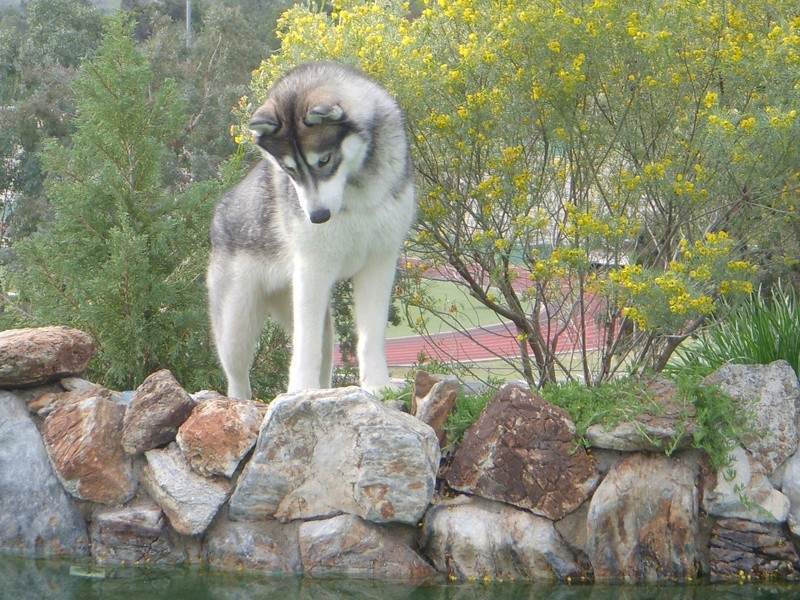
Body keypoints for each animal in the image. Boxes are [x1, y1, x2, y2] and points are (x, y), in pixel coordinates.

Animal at [206, 62, 416, 398]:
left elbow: (370, 337)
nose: (318, 217)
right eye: (289, 169)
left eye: (325, 160)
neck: (356, 194)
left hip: (316, 321)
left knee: (325, 358)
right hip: (235, 330)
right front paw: (300, 391)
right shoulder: (312, 271)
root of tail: (221, 208)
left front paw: (377, 385)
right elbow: (305, 345)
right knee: (237, 379)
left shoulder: (380, 263)